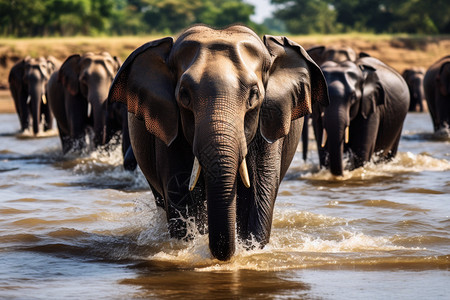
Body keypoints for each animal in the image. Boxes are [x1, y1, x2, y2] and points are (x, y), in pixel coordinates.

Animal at [107, 25, 328, 260]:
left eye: (254, 95)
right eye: (184, 95)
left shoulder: (270, 120)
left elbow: (259, 192)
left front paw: (249, 249)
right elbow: (181, 191)